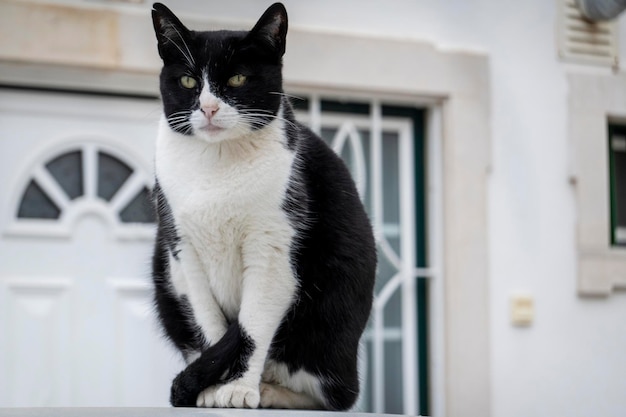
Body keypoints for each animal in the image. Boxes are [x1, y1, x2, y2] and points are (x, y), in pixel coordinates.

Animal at [151, 1, 376, 408]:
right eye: (189, 82)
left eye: (238, 79)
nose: (208, 108)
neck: (216, 163)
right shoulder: (182, 251)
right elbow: (211, 328)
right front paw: (213, 389)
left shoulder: (272, 248)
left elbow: (252, 327)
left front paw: (239, 388)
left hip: (329, 323)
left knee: (336, 396)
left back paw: (270, 391)